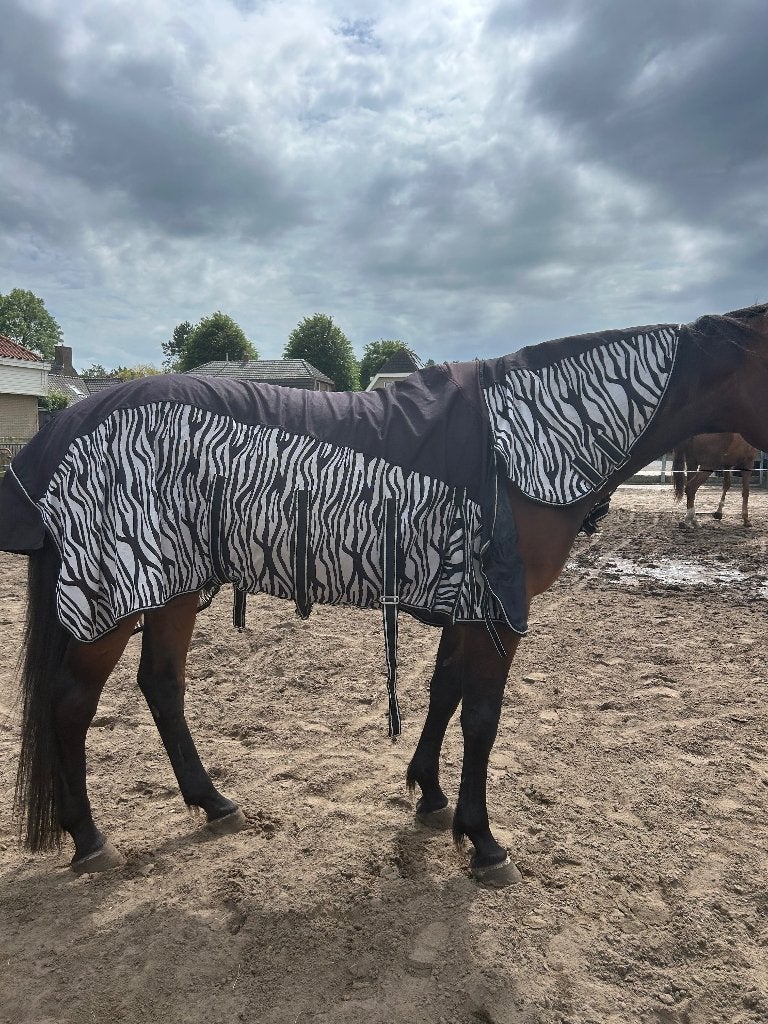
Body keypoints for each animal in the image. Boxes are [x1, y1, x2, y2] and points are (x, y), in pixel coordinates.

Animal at [2, 302, 767, 888]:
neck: (531, 437)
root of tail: (62, 433)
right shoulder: (497, 612)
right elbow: (482, 716)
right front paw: (484, 842)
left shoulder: (465, 603)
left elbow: (444, 691)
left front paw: (429, 795)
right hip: (114, 595)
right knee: (71, 703)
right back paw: (90, 838)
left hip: (173, 588)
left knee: (160, 685)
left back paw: (213, 803)